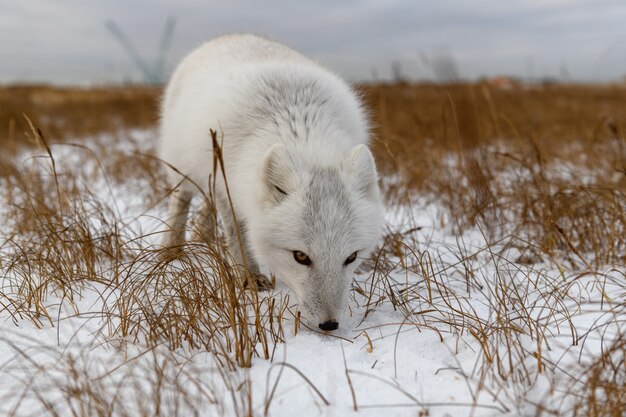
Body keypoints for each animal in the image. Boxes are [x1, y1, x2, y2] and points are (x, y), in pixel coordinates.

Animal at [158, 34, 382, 330]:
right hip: (186, 166)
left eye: (351, 257)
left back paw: (198, 235)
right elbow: (237, 235)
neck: (302, 131)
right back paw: (170, 248)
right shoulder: (226, 185)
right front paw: (249, 278)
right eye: (300, 257)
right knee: (182, 201)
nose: (329, 325)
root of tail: (230, 36)